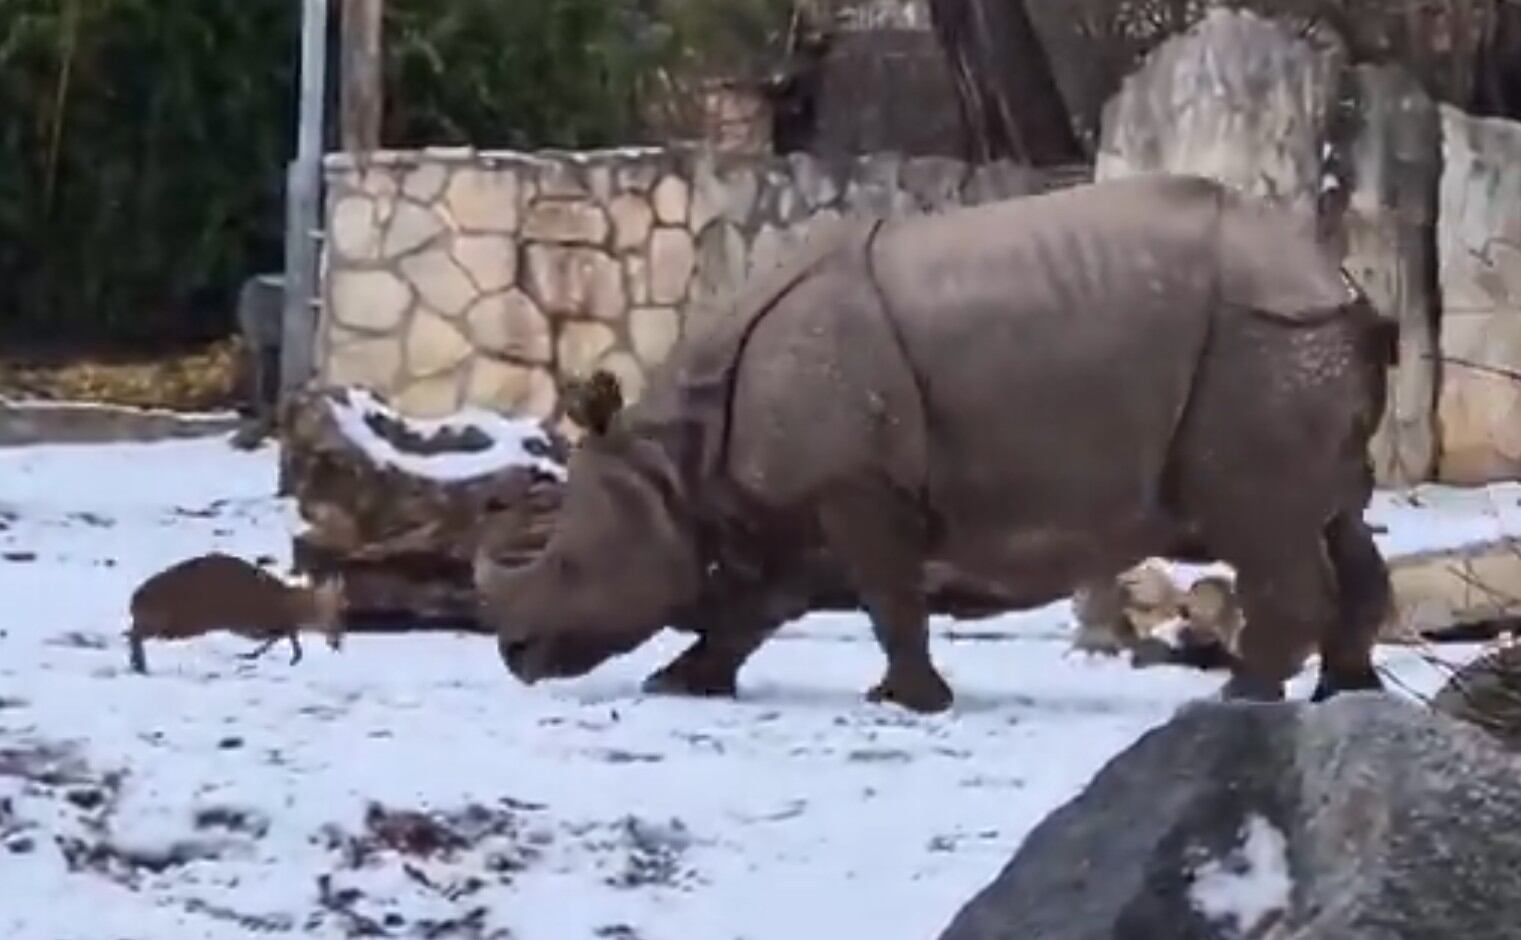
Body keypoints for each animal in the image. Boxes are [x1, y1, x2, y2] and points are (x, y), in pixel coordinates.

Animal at [126, 552, 346, 673]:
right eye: (333, 615)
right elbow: (282, 636)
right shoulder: (254, 623)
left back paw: (137, 663)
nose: (338, 643)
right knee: (135, 635)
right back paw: (139, 664)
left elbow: (282, 636)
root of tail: (135, 599)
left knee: (132, 633)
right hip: (172, 624)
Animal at [475, 173, 1398, 714]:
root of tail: (1338, 280)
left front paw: (908, 702)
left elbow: (888, 597)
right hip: (1292, 348)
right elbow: (763, 600)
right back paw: (1343, 694)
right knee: (1337, 515)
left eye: (568, 565)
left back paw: (1238, 700)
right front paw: (681, 683)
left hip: (1261, 342)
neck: (676, 455)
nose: (513, 656)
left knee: (1262, 524)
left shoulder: (855, 485)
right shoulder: (805, 494)